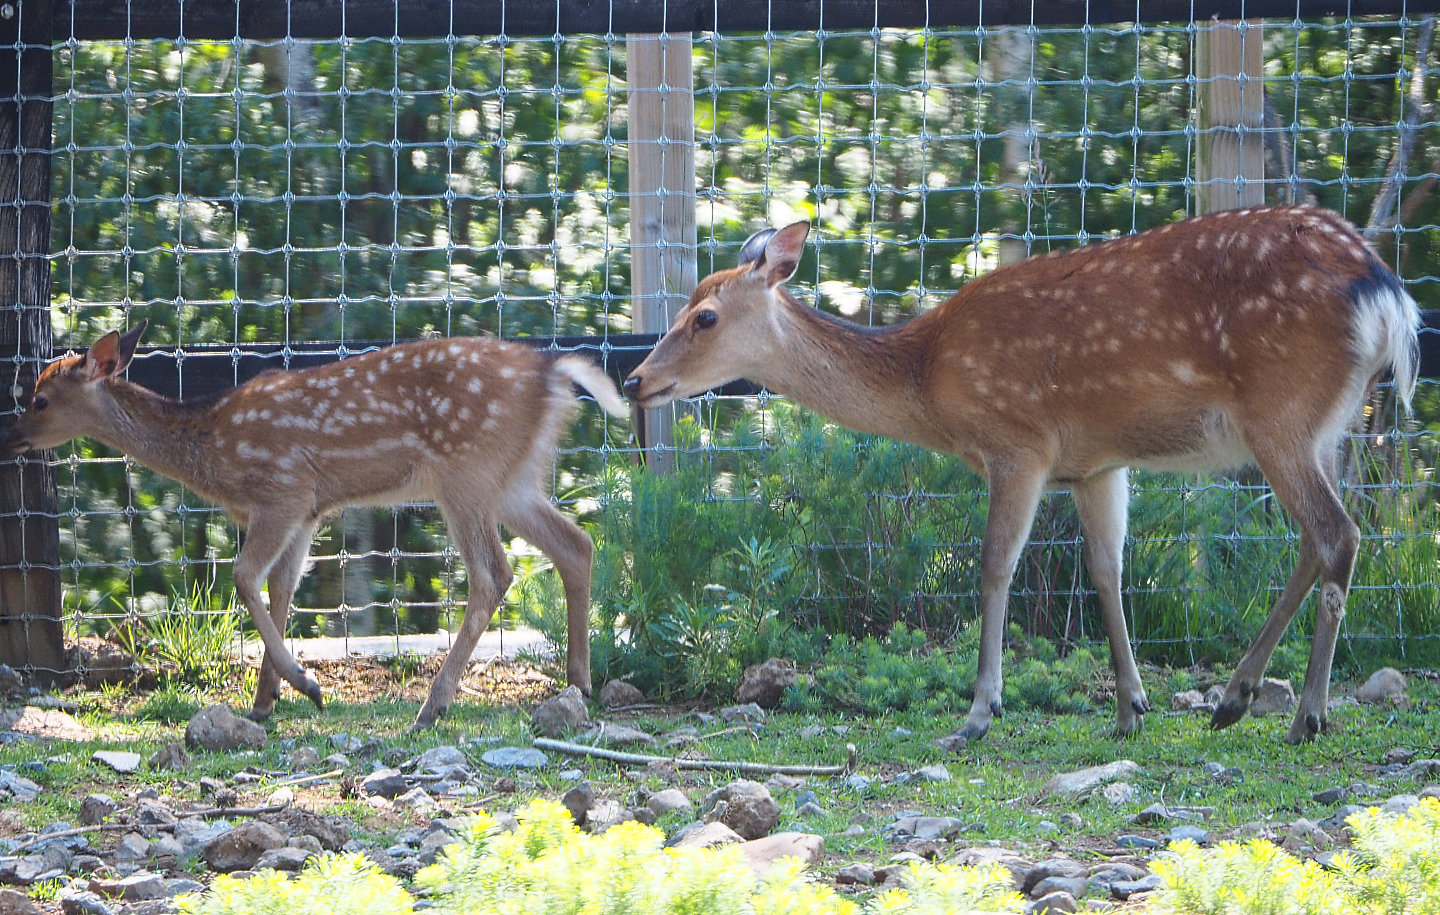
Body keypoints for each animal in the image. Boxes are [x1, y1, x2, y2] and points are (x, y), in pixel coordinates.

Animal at [2, 323, 627, 730]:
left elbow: (244, 577)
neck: (212, 452)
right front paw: (265, 702)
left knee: (493, 574)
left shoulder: (284, 491)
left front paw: (306, 685)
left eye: (40, 399)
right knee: (576, 544)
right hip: (513, 479)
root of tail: (553, 373)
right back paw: (579, 681)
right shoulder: (306, 511)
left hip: (465, 472)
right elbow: (281, 588)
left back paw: (433, 706)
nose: (11, 437)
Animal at [624, 206, 1421, 745]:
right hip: (1323, 425)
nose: (634, 380)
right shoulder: (1096, 464)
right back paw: (1233, 698)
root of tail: (1390, 296)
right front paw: (1130, 707)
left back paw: (1306, 714)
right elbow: (1105, 569)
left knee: (1337, 534)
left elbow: (994, 566)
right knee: (1318, 540)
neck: (926, 379)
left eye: (705, 316)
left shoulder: (1018, 443)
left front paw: (980, 711)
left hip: (1281, 412)